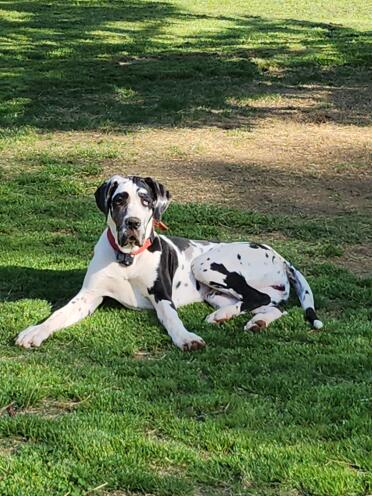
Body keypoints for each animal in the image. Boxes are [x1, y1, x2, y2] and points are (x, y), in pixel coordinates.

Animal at [15, 176, 322, 350]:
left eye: (146, 200)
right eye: (119, 200)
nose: (133, 223)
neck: (128, 259)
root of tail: (280, 256)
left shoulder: (162, 296)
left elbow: (172, 319)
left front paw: (185, 338)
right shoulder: (88, 297)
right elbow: (58, 315)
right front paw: (36, 331)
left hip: (205, 263)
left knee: (259, 298)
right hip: (214, 294)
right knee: (272, 305)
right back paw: (250, 321)